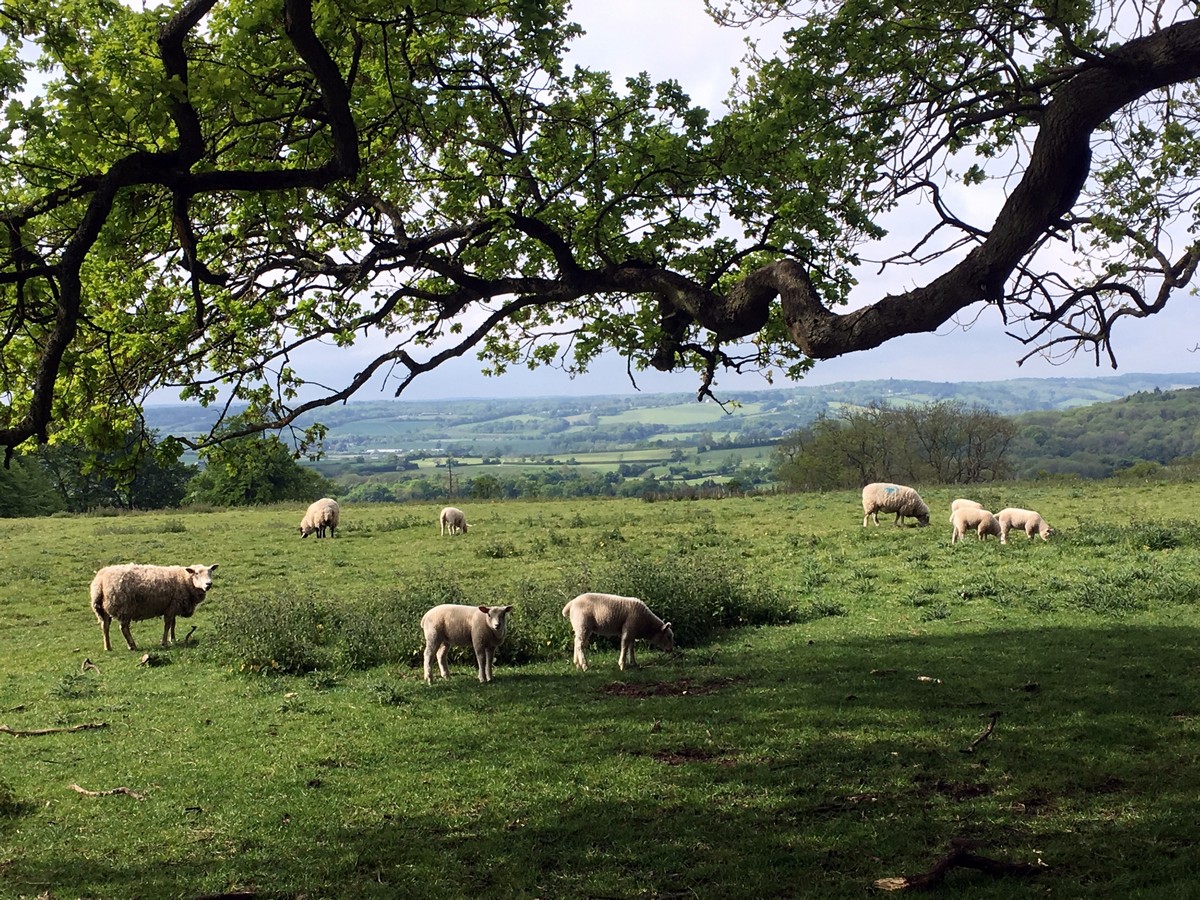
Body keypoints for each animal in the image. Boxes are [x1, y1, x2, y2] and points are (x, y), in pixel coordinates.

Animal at [91, 561, 220, 652]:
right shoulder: (172, 606)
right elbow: (167, 625)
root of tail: (100, 581)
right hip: (123, 608)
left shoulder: (172, 606)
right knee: (124, 628)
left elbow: (173, 624)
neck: (184, 580)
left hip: (102, 609)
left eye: (210, 572)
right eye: (197, 573)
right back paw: (132, 645)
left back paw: (108, 647)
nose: (209, 584)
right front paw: (165, 643)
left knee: (105, 626)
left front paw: (173, 639)